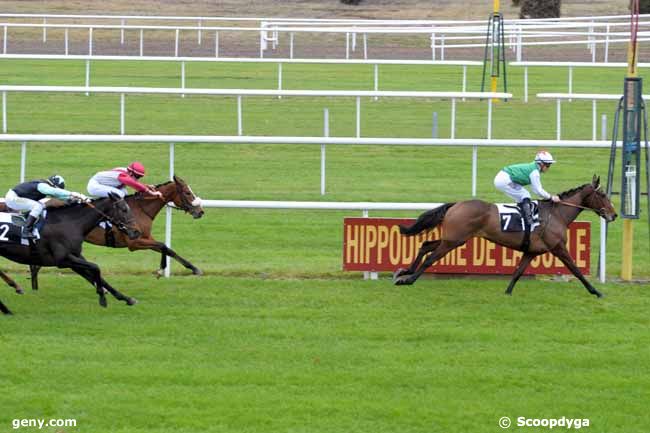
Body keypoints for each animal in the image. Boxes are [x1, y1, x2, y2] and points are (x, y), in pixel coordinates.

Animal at [0, 193, 140, 314]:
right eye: (124, 209)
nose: (136, 232)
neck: (70, 224)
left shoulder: (74, 257)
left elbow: (97, 276)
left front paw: (126, 298)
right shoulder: (62, 260)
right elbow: (96, 268)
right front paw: (102, 297)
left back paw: (12, 295)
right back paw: (7, 308)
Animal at [392, 176, 616, 296]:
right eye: (602, 195)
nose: (613, 215)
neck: (557, 214)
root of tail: (456, 204)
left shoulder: (532, 251)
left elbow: (518, 272)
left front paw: (507, 292)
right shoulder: (558, 247)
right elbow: (576, 270)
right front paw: (596, 292)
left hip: (453, 237)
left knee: (426, 245)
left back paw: (404, 272)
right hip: (454, 240)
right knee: (431, 257)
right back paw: (408, 279)